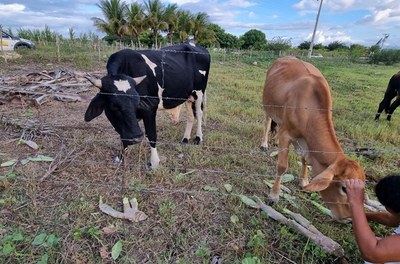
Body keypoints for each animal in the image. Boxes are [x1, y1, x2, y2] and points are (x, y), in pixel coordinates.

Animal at [83, 42, 211, 168]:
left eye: (137, 102)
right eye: (114, 105)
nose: (137, 137)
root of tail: (196, 45)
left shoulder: (149, 109)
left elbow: (151, 134)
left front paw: (154, 162)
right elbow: (123, 134)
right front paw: (120, 158)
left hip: (199, 92)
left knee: (199, 114)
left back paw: (198, 138)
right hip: (188, 96)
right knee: (190, 116)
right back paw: (185, 139)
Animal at [260, 57, 368, 223]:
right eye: (344, 188)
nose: (349, 218)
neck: (309, 110)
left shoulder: (305, 141)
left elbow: (304, 159)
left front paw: (303, 181)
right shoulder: (286, 134)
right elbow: (282, 166)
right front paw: (273, 195)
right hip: (267, 105)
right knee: (267, 123)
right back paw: (264, 143)